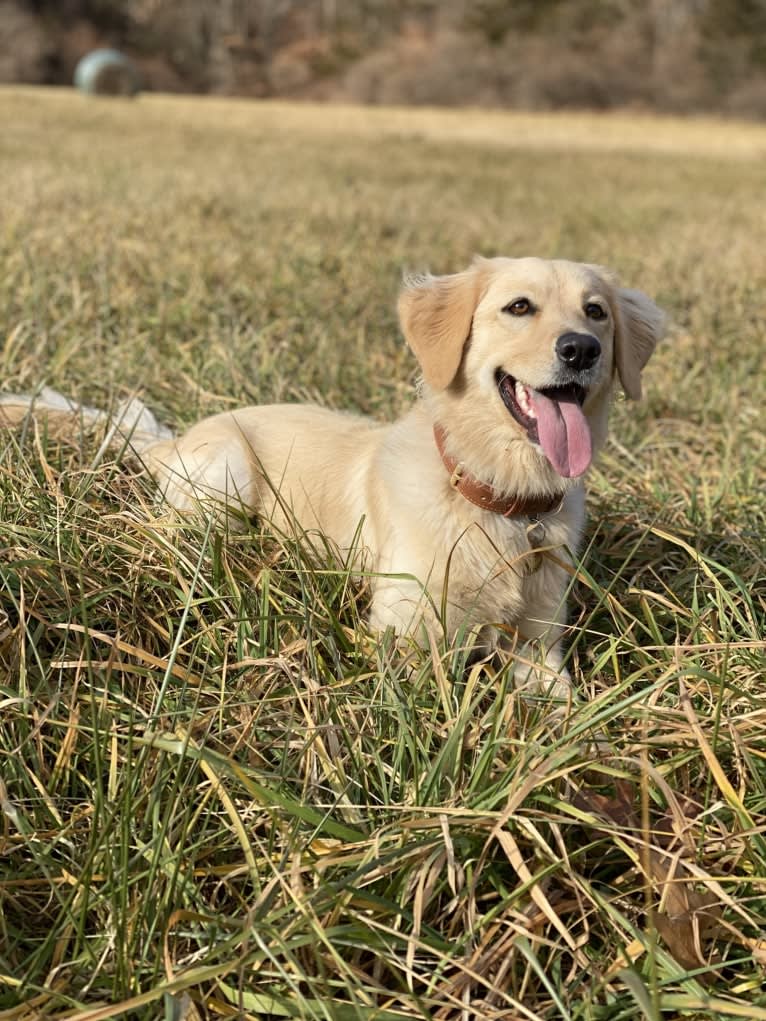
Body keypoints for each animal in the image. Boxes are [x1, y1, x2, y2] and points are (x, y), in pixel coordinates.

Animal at [1, 255, 665, 694]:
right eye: (519, 307)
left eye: (596, 313)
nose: (581, 349)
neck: (499, 499)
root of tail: (174, 439)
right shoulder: (405, 632)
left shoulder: (540, 642)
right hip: (227, 474)